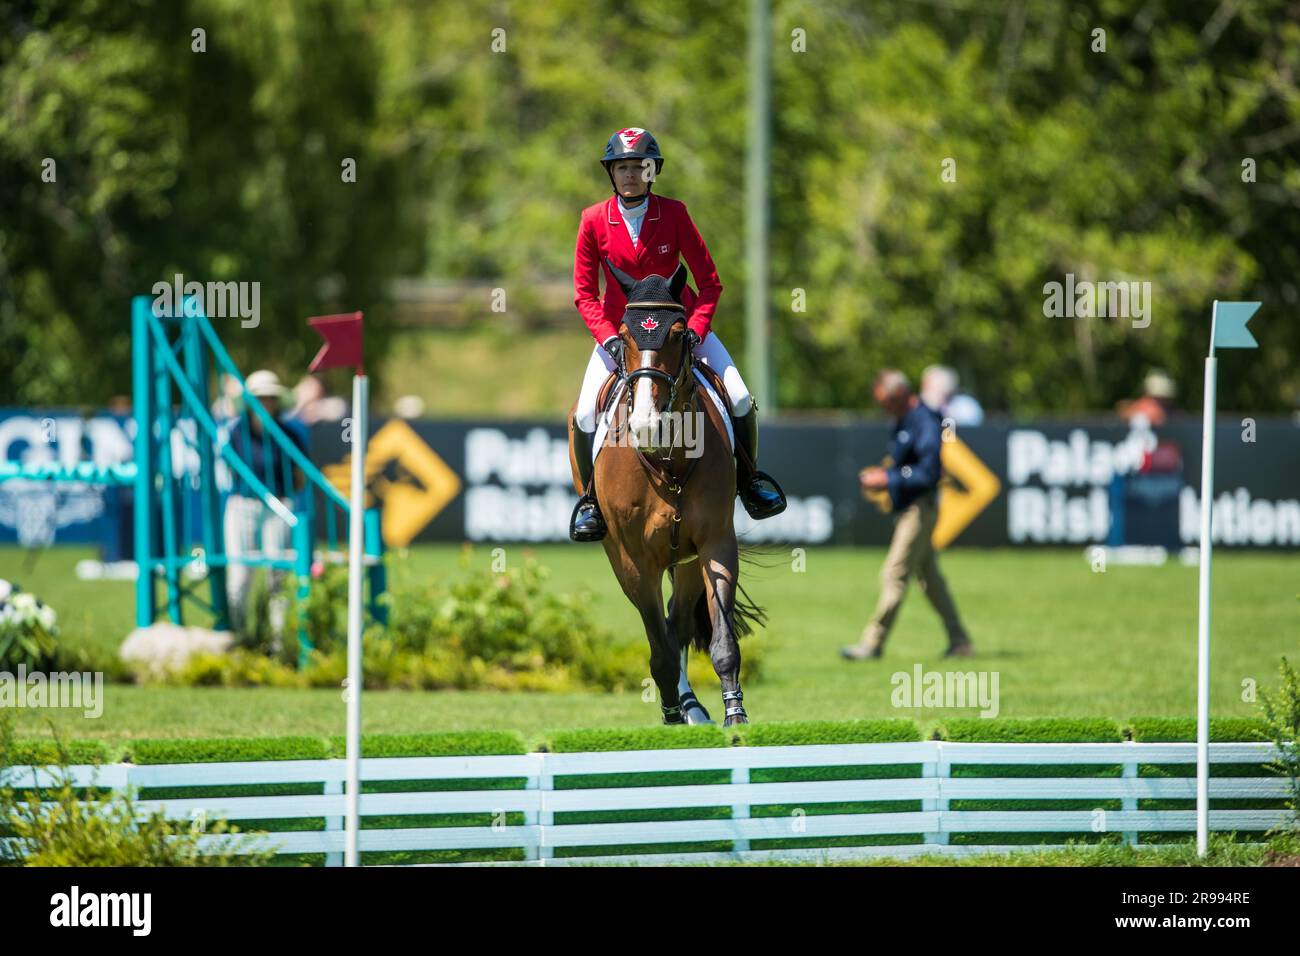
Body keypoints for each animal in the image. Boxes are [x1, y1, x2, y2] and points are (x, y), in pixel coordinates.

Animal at [566, 261, 764, 723]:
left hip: (686, 560)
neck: (669, 460)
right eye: (623, 335)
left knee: (680, 622)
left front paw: (735, 715)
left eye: (677, 334)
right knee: (668, 634)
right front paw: (670, 714)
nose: (646, 425)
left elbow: (719, 642)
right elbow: (660, 649)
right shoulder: (634, 561)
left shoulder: (715, 542)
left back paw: (693, 706)